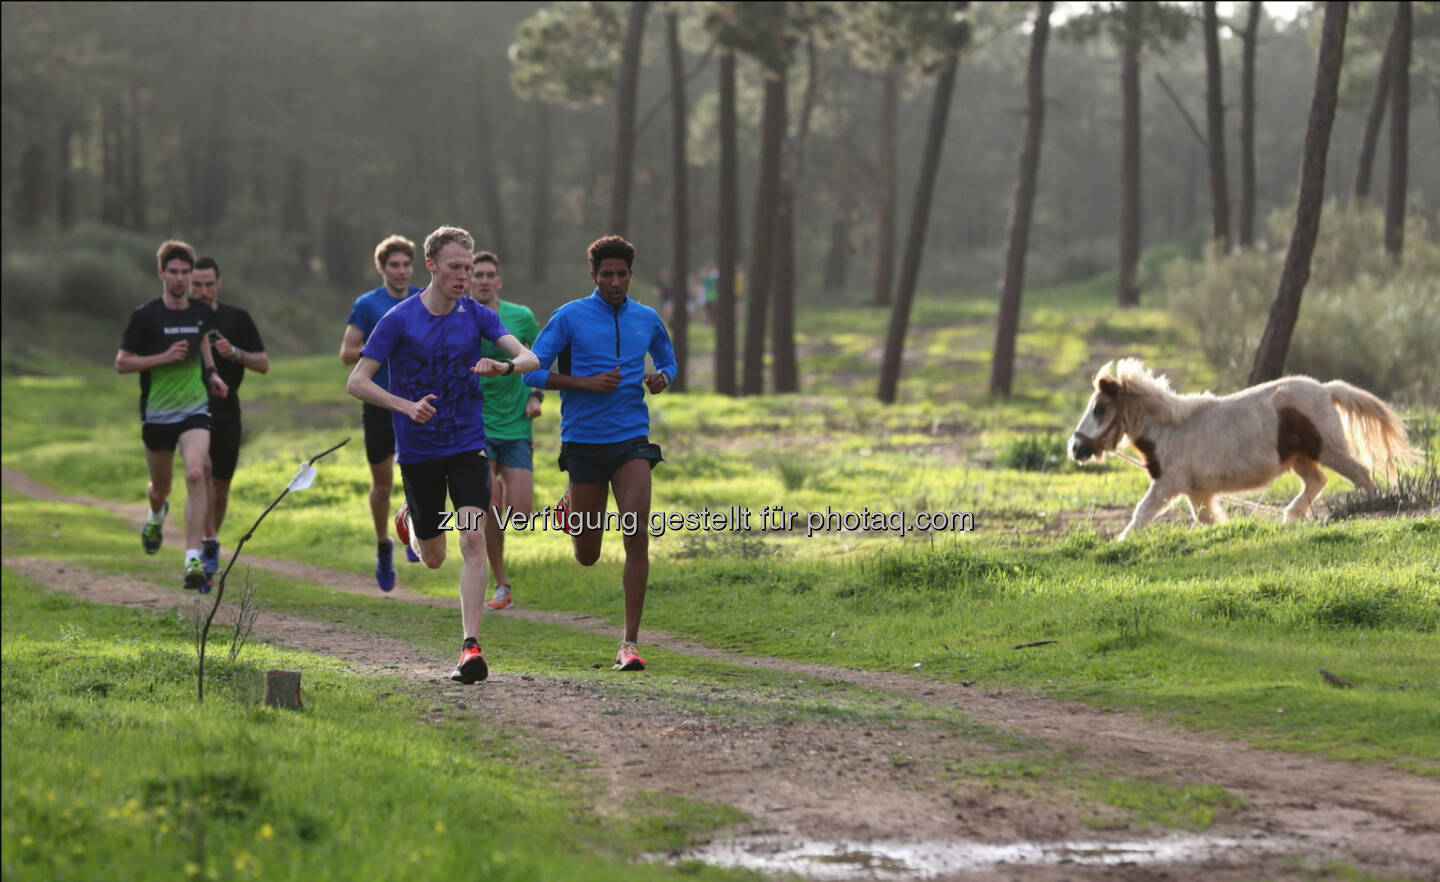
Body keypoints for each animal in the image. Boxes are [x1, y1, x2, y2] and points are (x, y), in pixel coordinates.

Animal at [1071, 355, 1416, 536]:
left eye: (1099, 408)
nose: (1074, 448)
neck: (1170, 430)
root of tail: (1326, 389)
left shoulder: (1167, 484)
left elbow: (1141, 515)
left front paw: (1121, 541)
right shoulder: (1198, 492)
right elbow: (1207, 519)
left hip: (1328, 449)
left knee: (1361, 474)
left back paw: (1368, 508)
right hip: (1300, 458)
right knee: (1317, 481)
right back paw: (1292, 516)